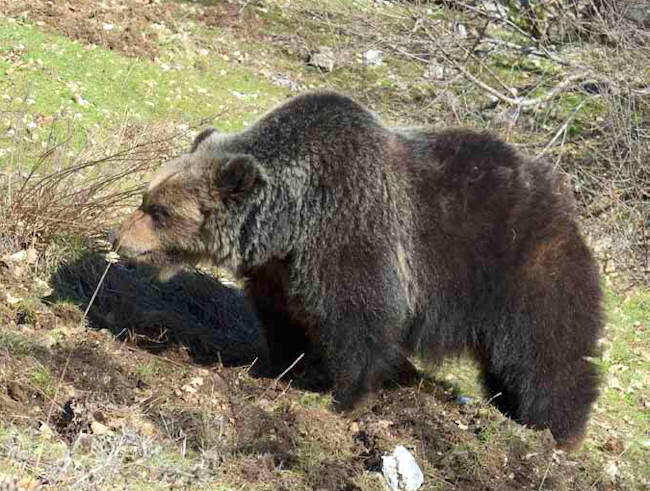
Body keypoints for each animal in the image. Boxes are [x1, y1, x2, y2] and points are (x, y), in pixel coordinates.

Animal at [112, 91, 604, 450]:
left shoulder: (354, 235)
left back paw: (555, 429)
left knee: (548, 351)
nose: (119, 240)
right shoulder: (279, 271)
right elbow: (283, 319)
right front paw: (282, 367)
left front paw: (343, 398)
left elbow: (359, 322)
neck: (293, 221)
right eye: (145, 198)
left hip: (522, 267)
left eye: (158, 211)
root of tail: (562, 199)